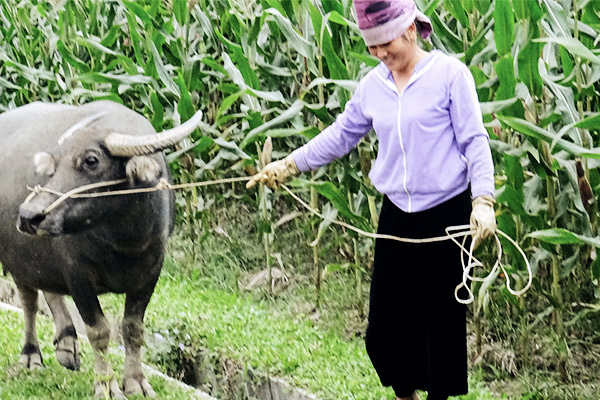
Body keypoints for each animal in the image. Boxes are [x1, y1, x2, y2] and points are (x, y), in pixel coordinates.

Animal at [0, 101, 203, 396]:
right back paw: (31, 354)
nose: (28, 215)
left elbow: (132, 329)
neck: (123, 240)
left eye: (91, 160)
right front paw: (106, 386)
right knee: (29, 300)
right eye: (55, 164)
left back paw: (67, 344)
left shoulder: (151, 273)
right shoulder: (77, 275)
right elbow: (99, 331)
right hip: (17, 257)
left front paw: (136, 381)